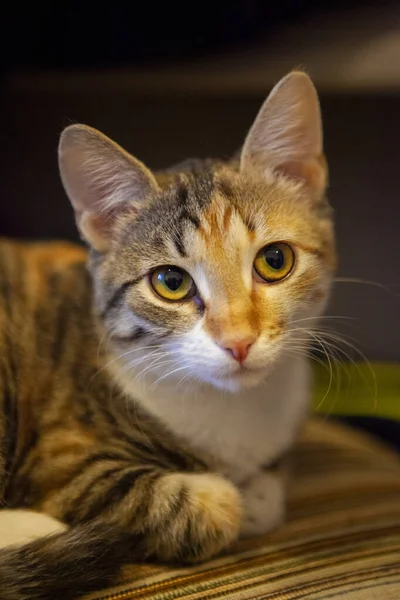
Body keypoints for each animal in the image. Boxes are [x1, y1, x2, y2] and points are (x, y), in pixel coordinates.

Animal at [0, 71, 336, 600]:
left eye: (275, 260)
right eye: (171, 282)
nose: (238, 340)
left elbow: (269, 493)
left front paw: (259, 490)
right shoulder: (62, 462)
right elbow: (216, 506)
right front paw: (234, 498)